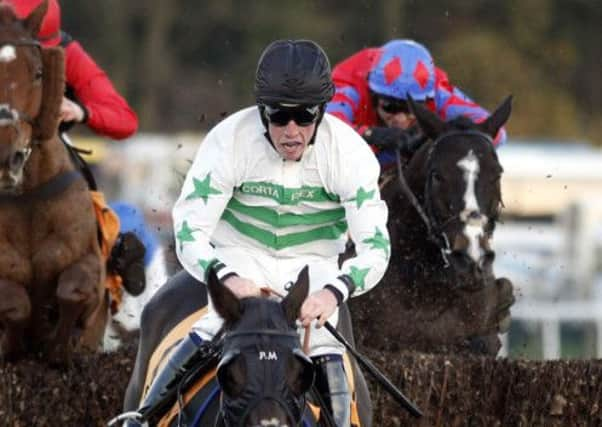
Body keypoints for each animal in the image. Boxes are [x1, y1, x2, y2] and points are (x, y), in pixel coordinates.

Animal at [0, 0, 105, 362]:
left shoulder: (89, 263)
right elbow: (15, 303)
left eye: (38, 72)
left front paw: (59, 346)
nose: (7, 157)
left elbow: (72, 288)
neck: (26, 195)